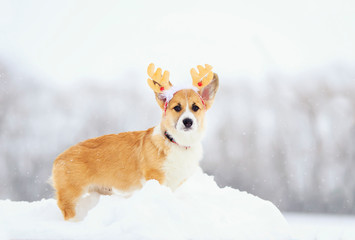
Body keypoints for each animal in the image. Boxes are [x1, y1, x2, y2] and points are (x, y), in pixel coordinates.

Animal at [52, 63, 220, 219]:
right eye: (177, 108)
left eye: (195, 107)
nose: (187, 122)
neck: (178, 142)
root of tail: (58, 158)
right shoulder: (155, 178)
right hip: (71, 195)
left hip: (103, 191)